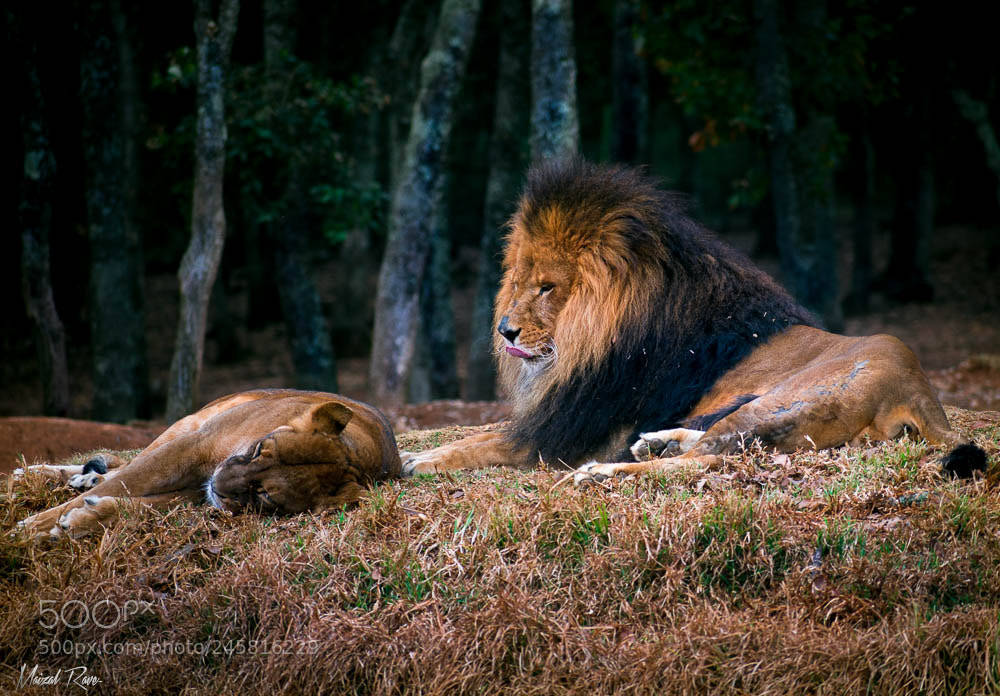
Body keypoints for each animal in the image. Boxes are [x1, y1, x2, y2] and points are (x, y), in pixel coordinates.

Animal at [16, 389, 400, 539]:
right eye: (260, 449)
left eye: (266, 496)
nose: (217, 483)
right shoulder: (194, 446)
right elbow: (125, 481)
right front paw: (30, 527)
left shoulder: (195, 490)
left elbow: (139, 506)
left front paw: (80, 520)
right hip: (187, 425)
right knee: (125, 463)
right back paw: (51, 475)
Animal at [403, 159, 987, 482]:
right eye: (519, 279)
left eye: (547, 287)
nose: (505, 330)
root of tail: (921, 389)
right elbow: (485, 434)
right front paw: (415, 450)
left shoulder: (572, 433)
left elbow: (487, 443)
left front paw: (416, 459)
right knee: (705, 445)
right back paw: (657, 441)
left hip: (780, 403)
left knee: (708, 461)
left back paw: (606, 473)